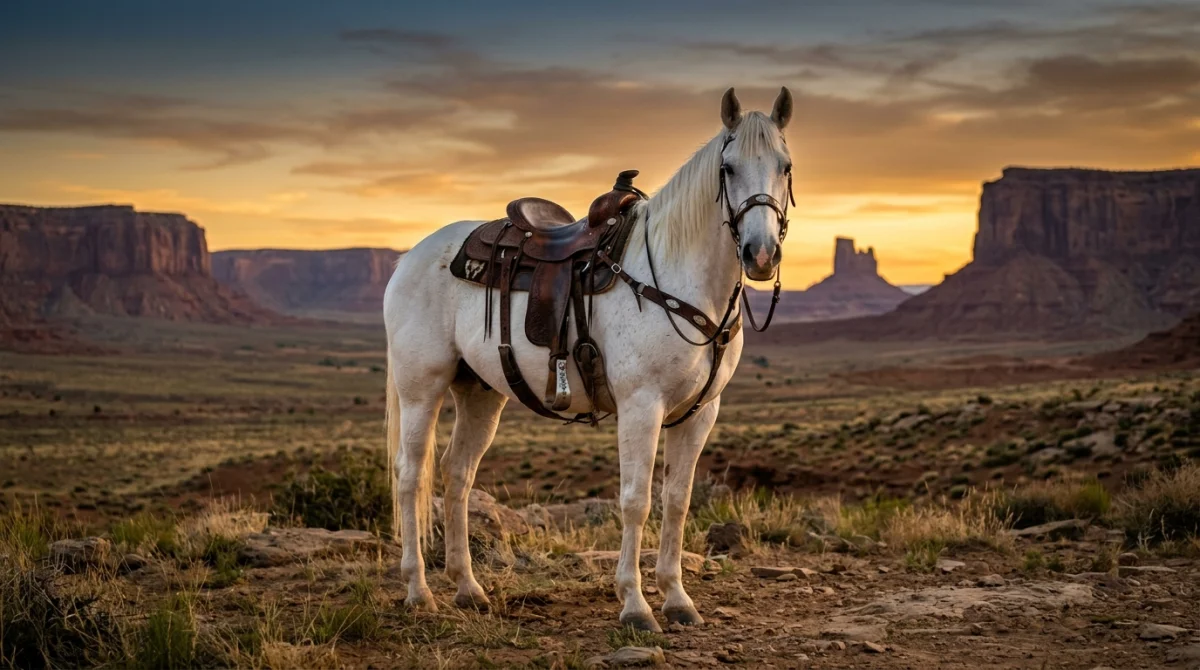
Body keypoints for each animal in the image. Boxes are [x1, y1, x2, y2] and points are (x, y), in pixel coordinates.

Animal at [383, 87, 793, 631]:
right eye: (727, 168)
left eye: (786, 167)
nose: (760, 254)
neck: (679, 277)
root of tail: (408, 257)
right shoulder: (641, 406)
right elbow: (636, 501)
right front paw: (635, 604)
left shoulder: (700, 413)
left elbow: (678, 501)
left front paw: (677, 598)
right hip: (420, 387)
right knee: (411, 475)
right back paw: (418, 590)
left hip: (480, 393)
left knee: (456, 474)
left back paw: (468, 588)